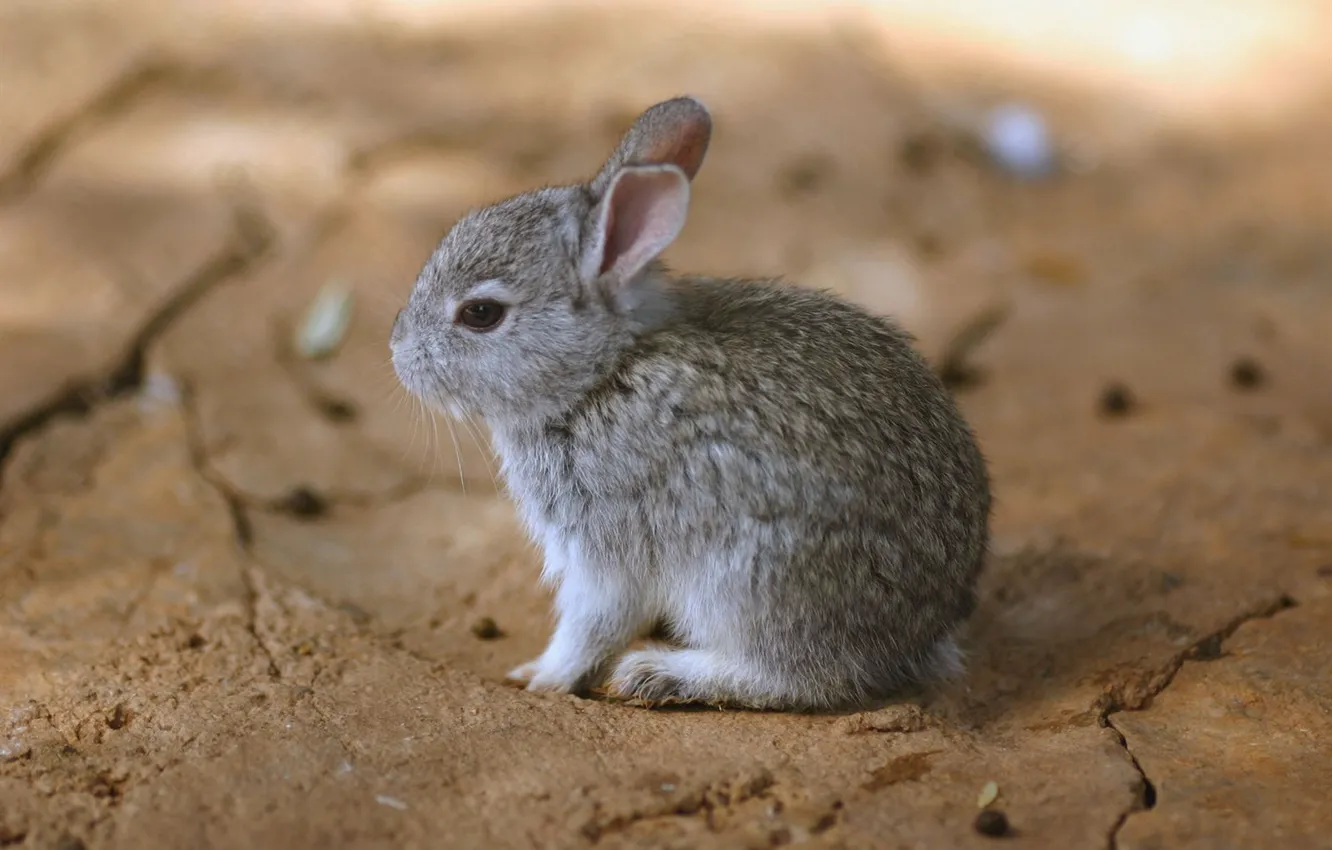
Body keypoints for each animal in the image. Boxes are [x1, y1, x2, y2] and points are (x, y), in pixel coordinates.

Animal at [390, 96, 991, 711]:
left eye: (480, 314)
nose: (398, 353)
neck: (602, 373)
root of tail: (921, 632)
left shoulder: (607, 545)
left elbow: (592, 623)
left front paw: (543, 677)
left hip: (748, 579)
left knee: (801, 676)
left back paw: (659, 674)